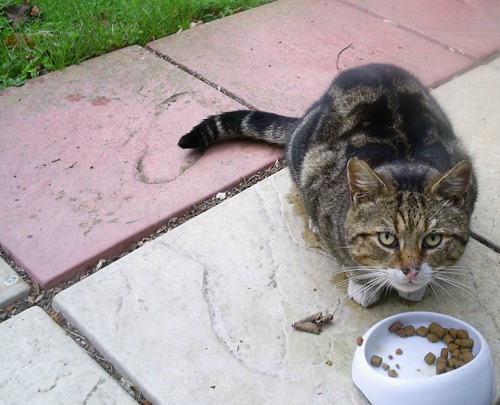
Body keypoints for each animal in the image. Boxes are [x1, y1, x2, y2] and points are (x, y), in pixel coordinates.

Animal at [179, 63, 476, 304]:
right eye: (387, 238)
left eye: (433, 239)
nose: (411, 270)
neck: (404, 157)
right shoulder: (319, 181)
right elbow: (348, 257)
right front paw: (364, 286)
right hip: (302, 152)